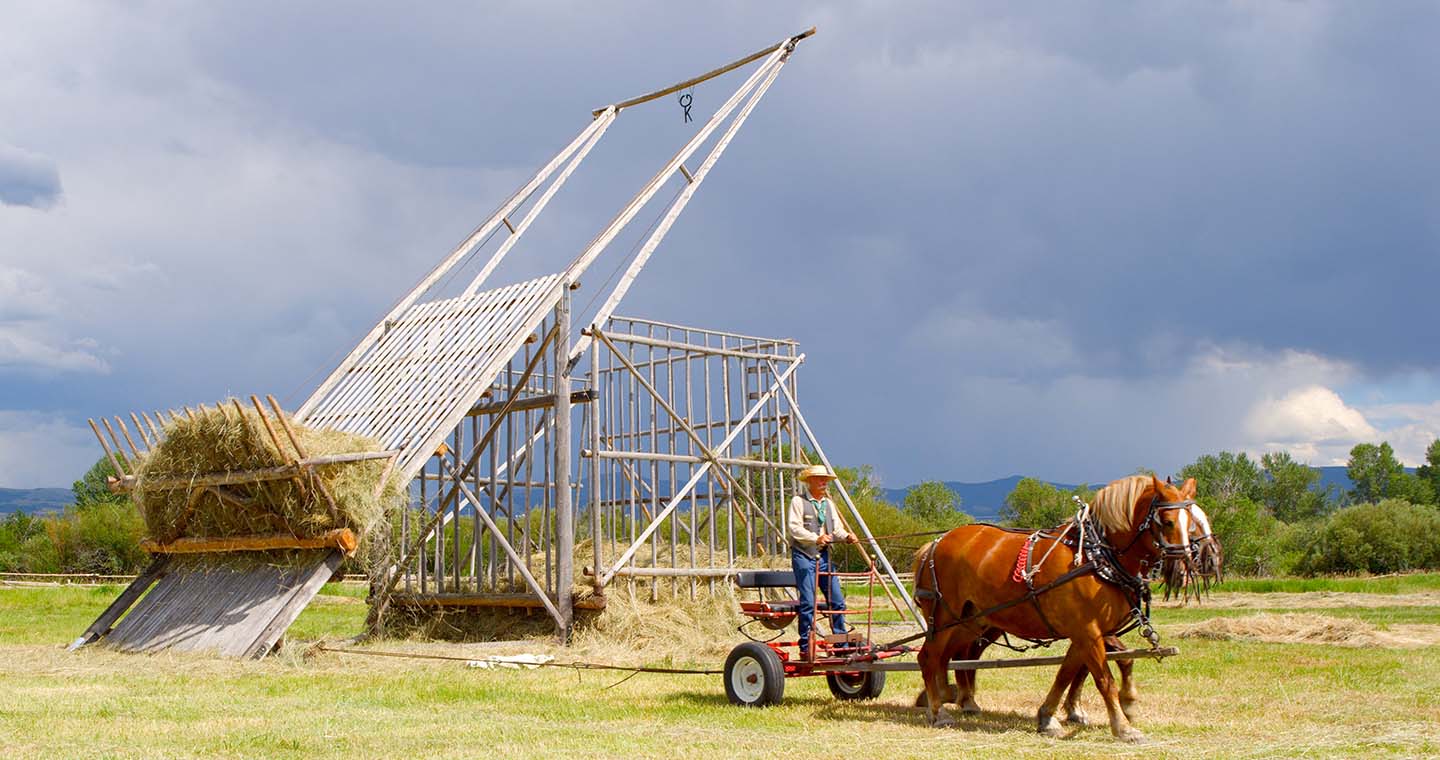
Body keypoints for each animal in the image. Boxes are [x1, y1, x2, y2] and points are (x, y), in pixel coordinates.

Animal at [915, 475, 1198, 742]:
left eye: (1191, 523)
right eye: (1167, 521)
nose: (1185, 563)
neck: (1095, 556)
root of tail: (934, 544)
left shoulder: (1087, 632)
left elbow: (1069, 673)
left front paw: (1049, 718)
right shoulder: (1087, 631)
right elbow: (1103, 679)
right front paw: (1123, 727)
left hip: (969, 621)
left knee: (950, 656)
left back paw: (951, 698)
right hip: (943, 619)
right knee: (929, 657)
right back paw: (939, 711)